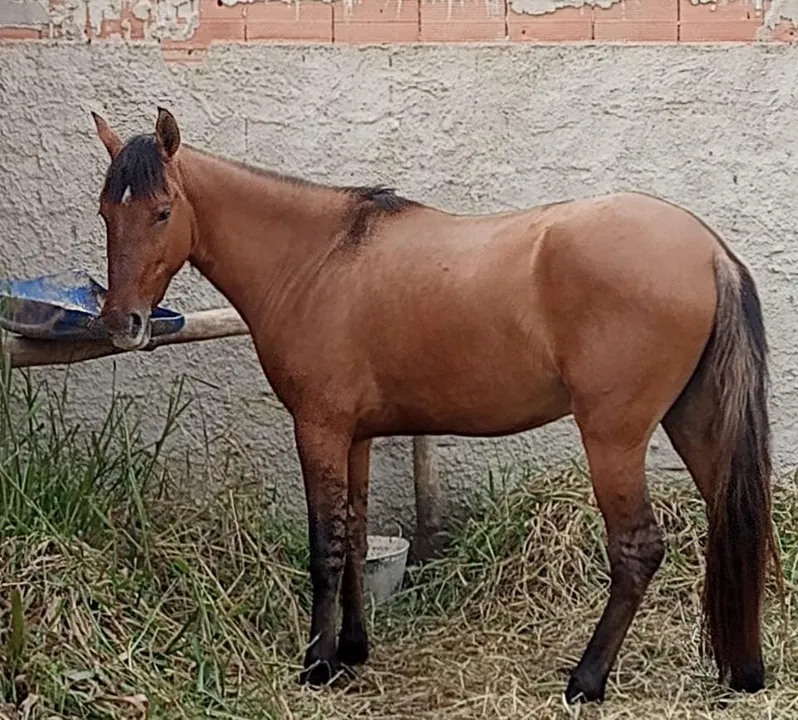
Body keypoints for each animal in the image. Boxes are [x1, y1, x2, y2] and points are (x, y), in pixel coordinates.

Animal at [89, 107, 780, 704]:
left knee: (637, 550)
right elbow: (356, 536)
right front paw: (353, 649)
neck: (316, 258)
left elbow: (325, 545)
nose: (122, 324)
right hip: (693, 423)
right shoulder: (356, 436)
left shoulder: (319, 429)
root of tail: (708, 250)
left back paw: (586, 680)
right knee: (731, 520)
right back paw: (742, 671)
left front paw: (317, 664)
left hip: (614, 437)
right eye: (105, 211)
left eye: (162, 211)